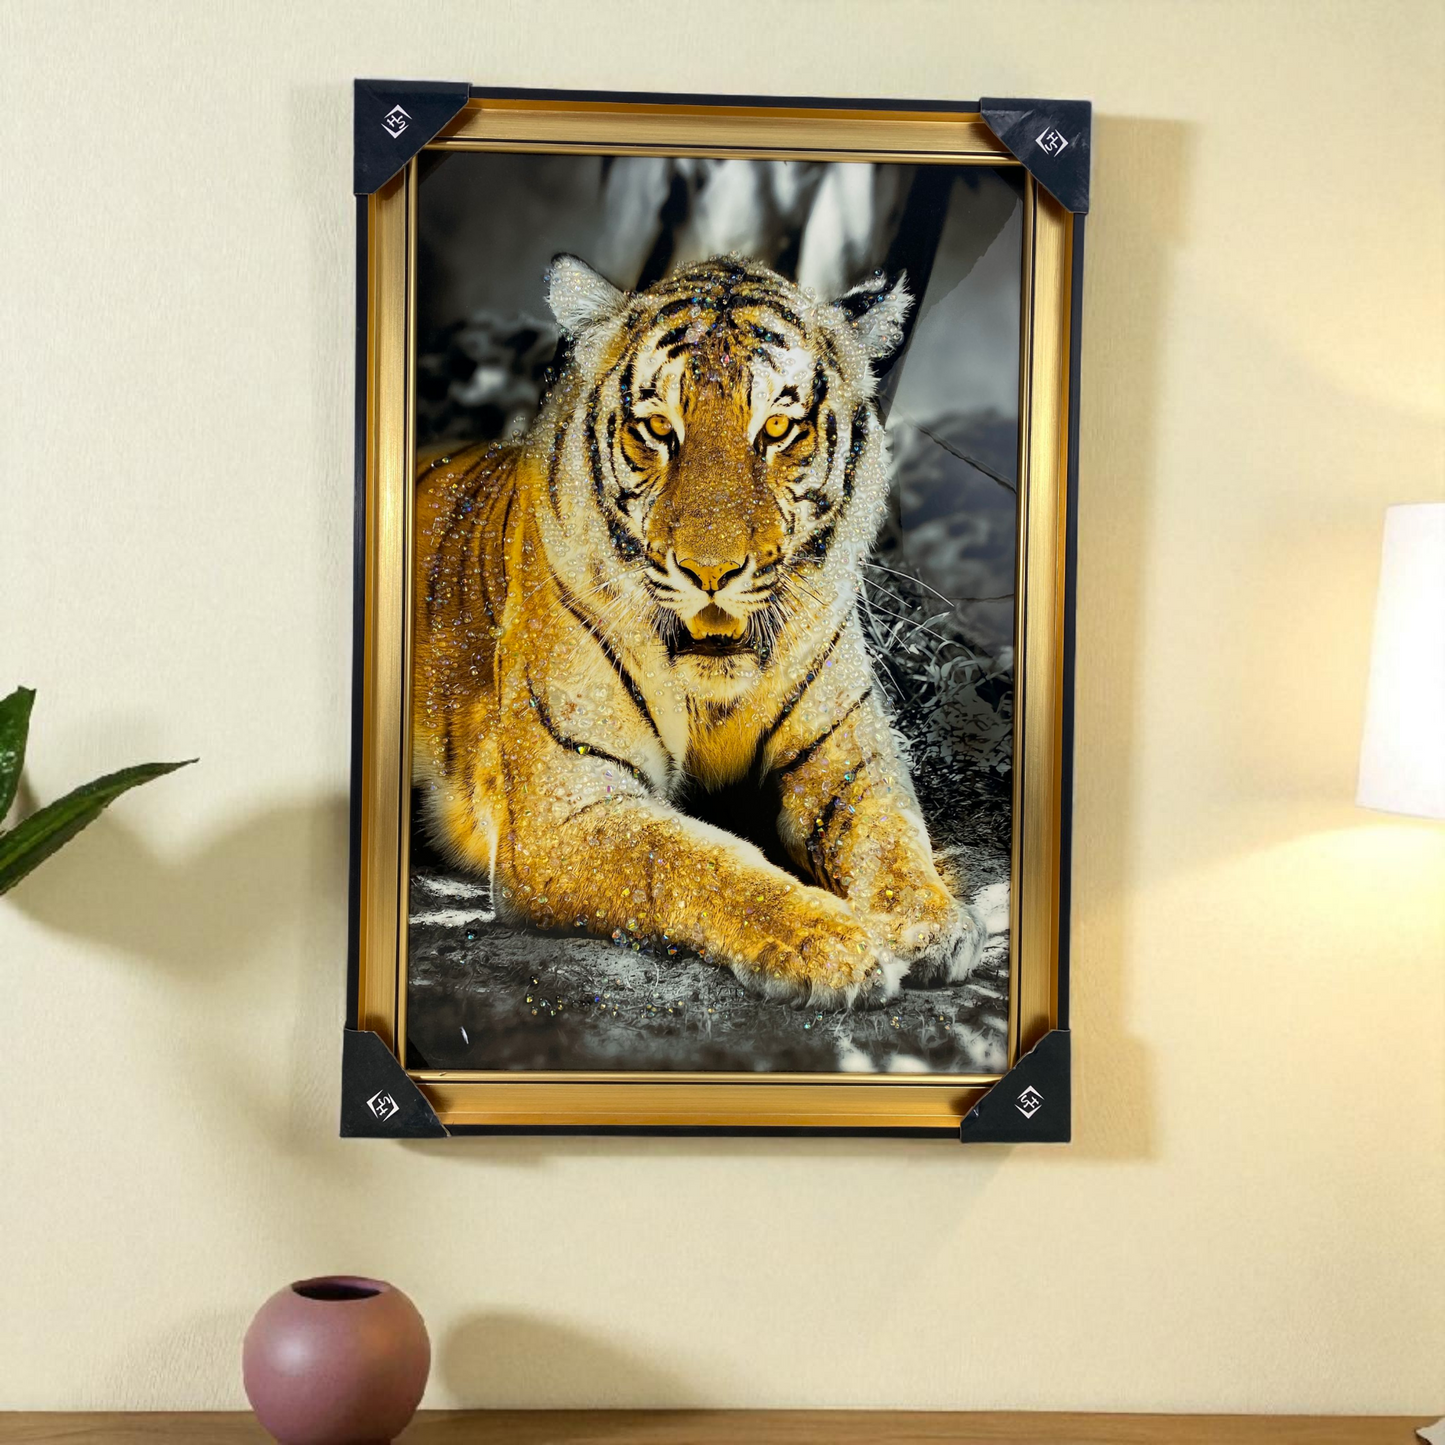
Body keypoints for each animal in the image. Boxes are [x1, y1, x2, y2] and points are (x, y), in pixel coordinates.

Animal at [412, 253, 984, 1010]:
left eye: (777, 429)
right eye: (658, 428)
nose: (710, 571)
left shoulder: (851, 759)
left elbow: (889, 835)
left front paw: (932, 921)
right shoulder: (571, 804)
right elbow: (693, 858)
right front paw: (827, 942)